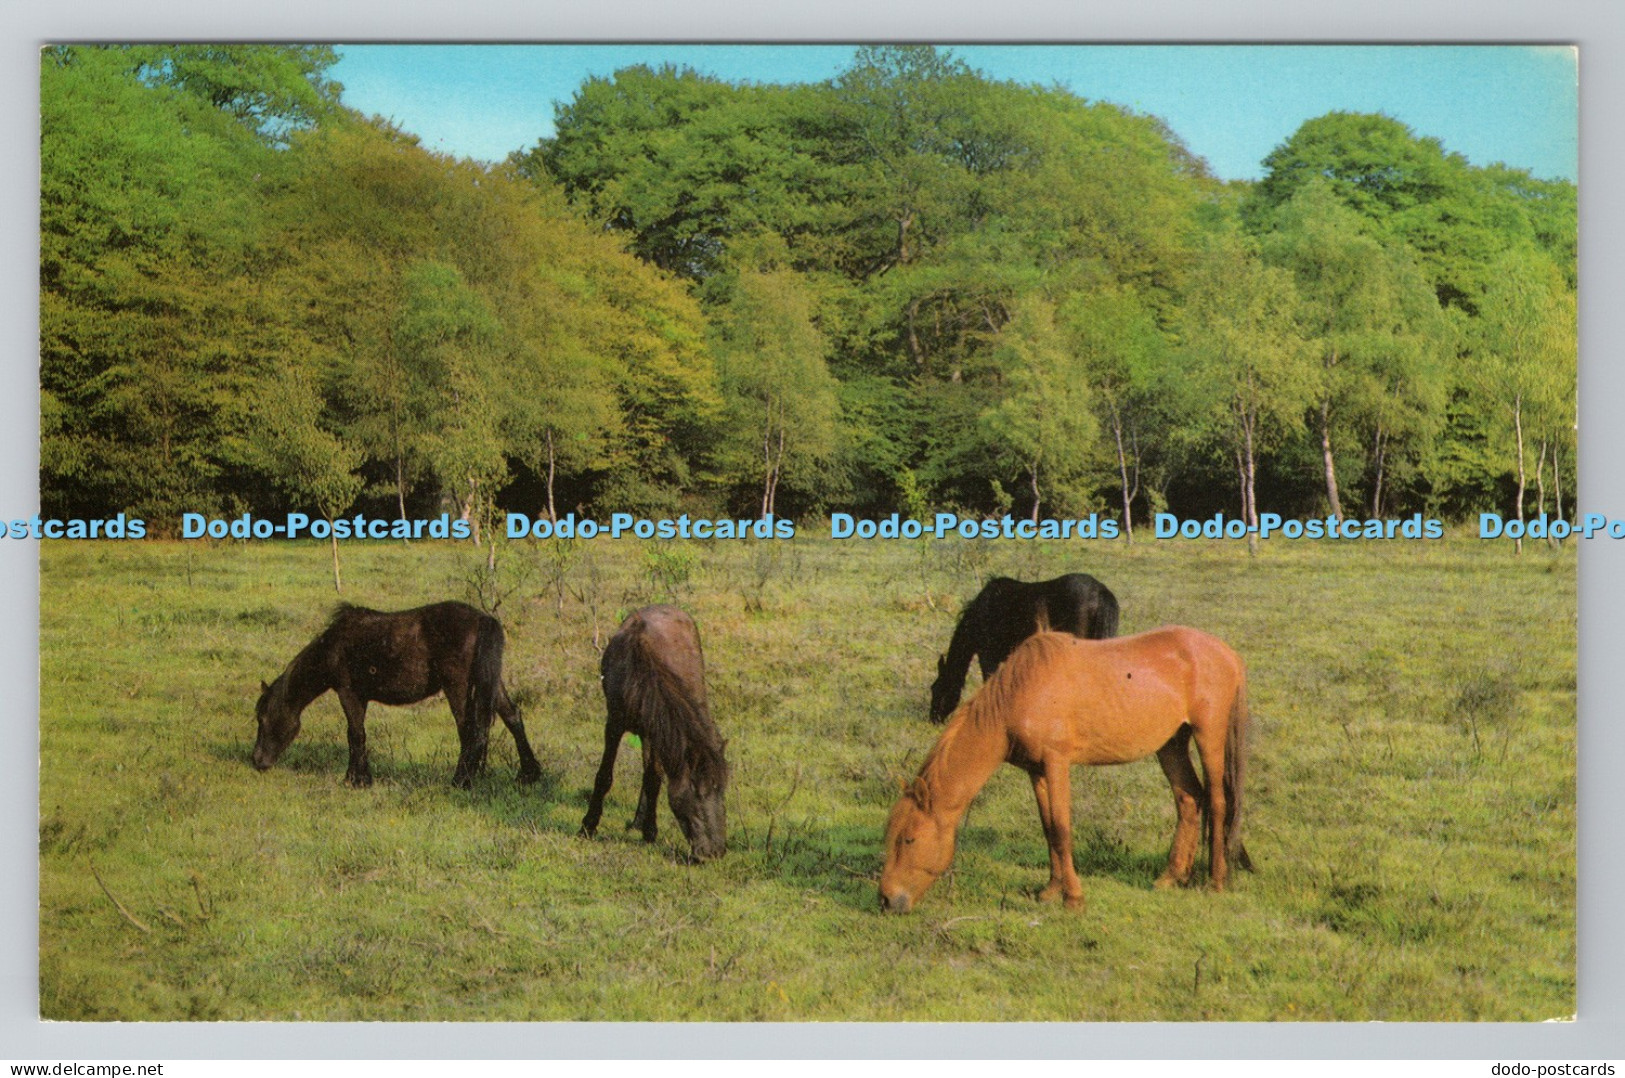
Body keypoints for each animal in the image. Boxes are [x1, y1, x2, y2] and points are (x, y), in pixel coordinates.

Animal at [252, 601, 543, 789]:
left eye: (262, 720)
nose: (257, 761)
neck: (333, 647)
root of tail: (483, 619)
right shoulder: (361, 696)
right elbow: (357, 734)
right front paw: (357, 777)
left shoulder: (348, 693)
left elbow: (355, 734)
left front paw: (356, 780)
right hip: (492, 682)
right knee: (512, 717)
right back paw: (528, 774)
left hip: (457, 687)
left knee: (469, 730)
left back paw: (460, 781)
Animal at [580, 605, 728, 861]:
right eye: (697, 791)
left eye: (721, 790)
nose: (714, 853)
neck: (640, 672)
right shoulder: (614, 724)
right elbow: (604, 776)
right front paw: (588, 825)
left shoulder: (659, 732)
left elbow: (653, 778)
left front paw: (650, 830)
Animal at [882, 627, 1253, 914]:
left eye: (909, 839)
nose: (886, 900)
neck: (1021, 692)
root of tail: (1228, 654)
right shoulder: (1036, 771)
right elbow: (1048, 829)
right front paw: (1050, 891)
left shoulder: (1057, 763)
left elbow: (1061, 829)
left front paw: (1073, 898)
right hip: (1171, 744)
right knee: (1189, 799)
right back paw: (1172, 877)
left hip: (1209, 736)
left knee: (1217, 803)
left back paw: (1216, 881)